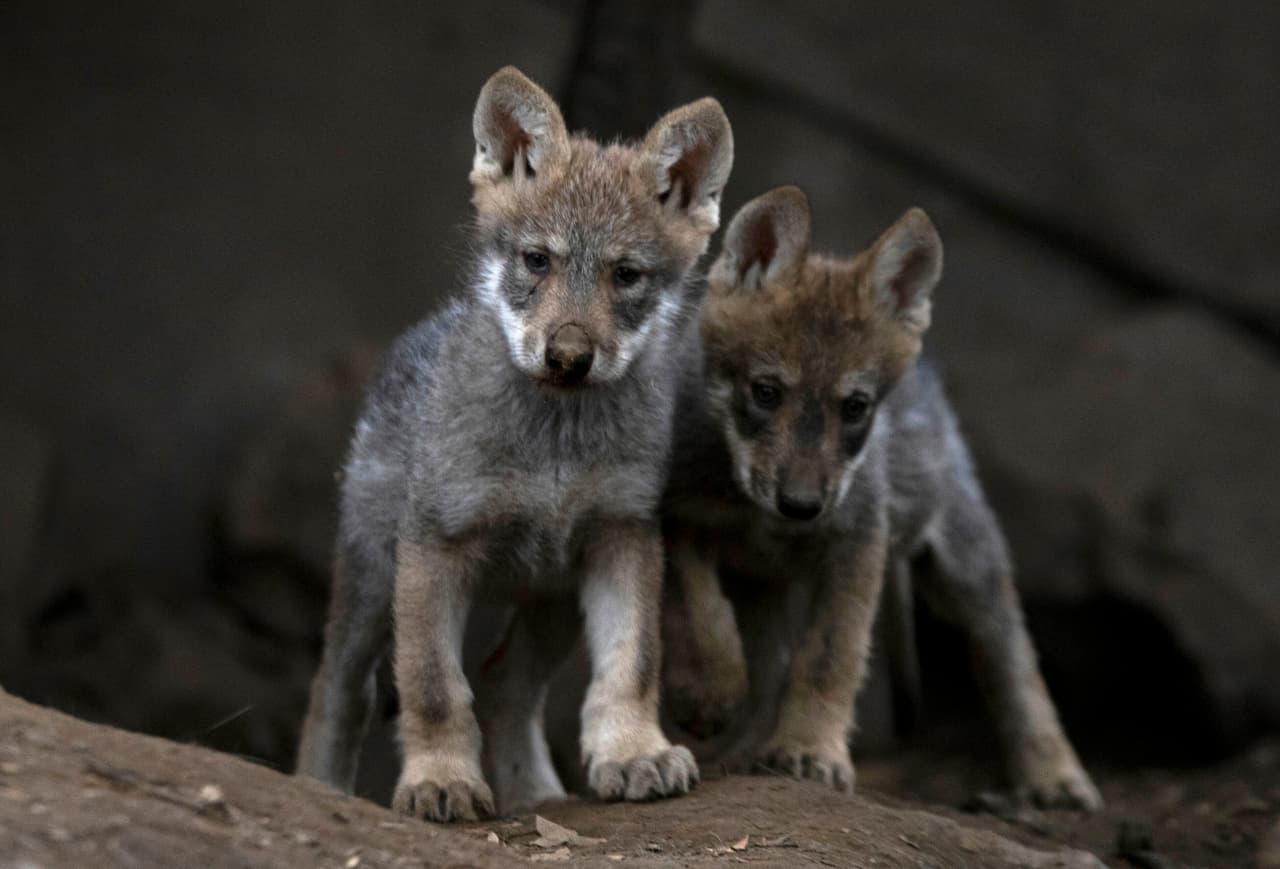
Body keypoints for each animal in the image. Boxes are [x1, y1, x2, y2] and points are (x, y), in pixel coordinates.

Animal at [295, 66, 734, 822]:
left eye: (626, 275)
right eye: (537, 261)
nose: (569, 356)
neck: (554, 444)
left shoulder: (622, 536)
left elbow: (631, 664)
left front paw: (633, 752)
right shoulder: (434, 548)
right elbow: (436, 688)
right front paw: (440, 778)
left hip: (550, 599)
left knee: (505, 684)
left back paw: (537, 795)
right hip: (371, 580)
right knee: (337, 691)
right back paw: (317, 788)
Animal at [660, 186, 1102, 810]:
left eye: (855, 407)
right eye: (765, 392)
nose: (801, 506)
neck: (753, 511)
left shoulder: (858, 543)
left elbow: (829, 658)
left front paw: (811, 752)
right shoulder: (678, 516)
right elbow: (700, 617)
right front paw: (706, 695)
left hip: (966, 562)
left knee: (1015, 660)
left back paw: (1056, 778)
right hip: (769, 586)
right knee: (770, 666)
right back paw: (746, 752)